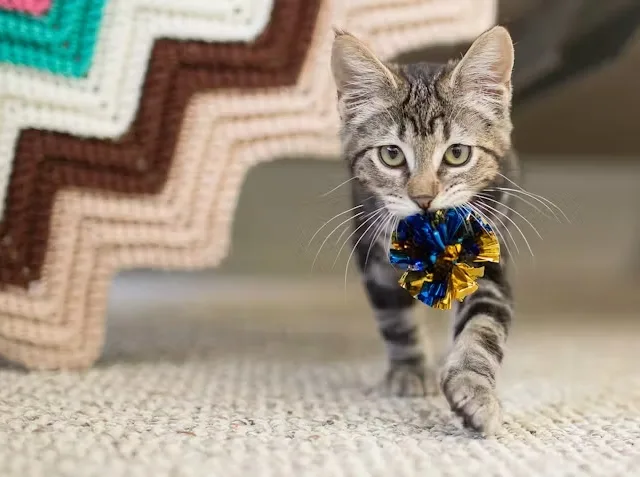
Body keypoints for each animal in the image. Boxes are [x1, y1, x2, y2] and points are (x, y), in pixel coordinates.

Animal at [330, 27, 520, 436]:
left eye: (457, 154)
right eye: (391, 155)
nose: (423, 198)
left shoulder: (486, 257)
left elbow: (482, 327)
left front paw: (475, 392)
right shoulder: (373, 253)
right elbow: (395, 318)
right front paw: (410, 370)